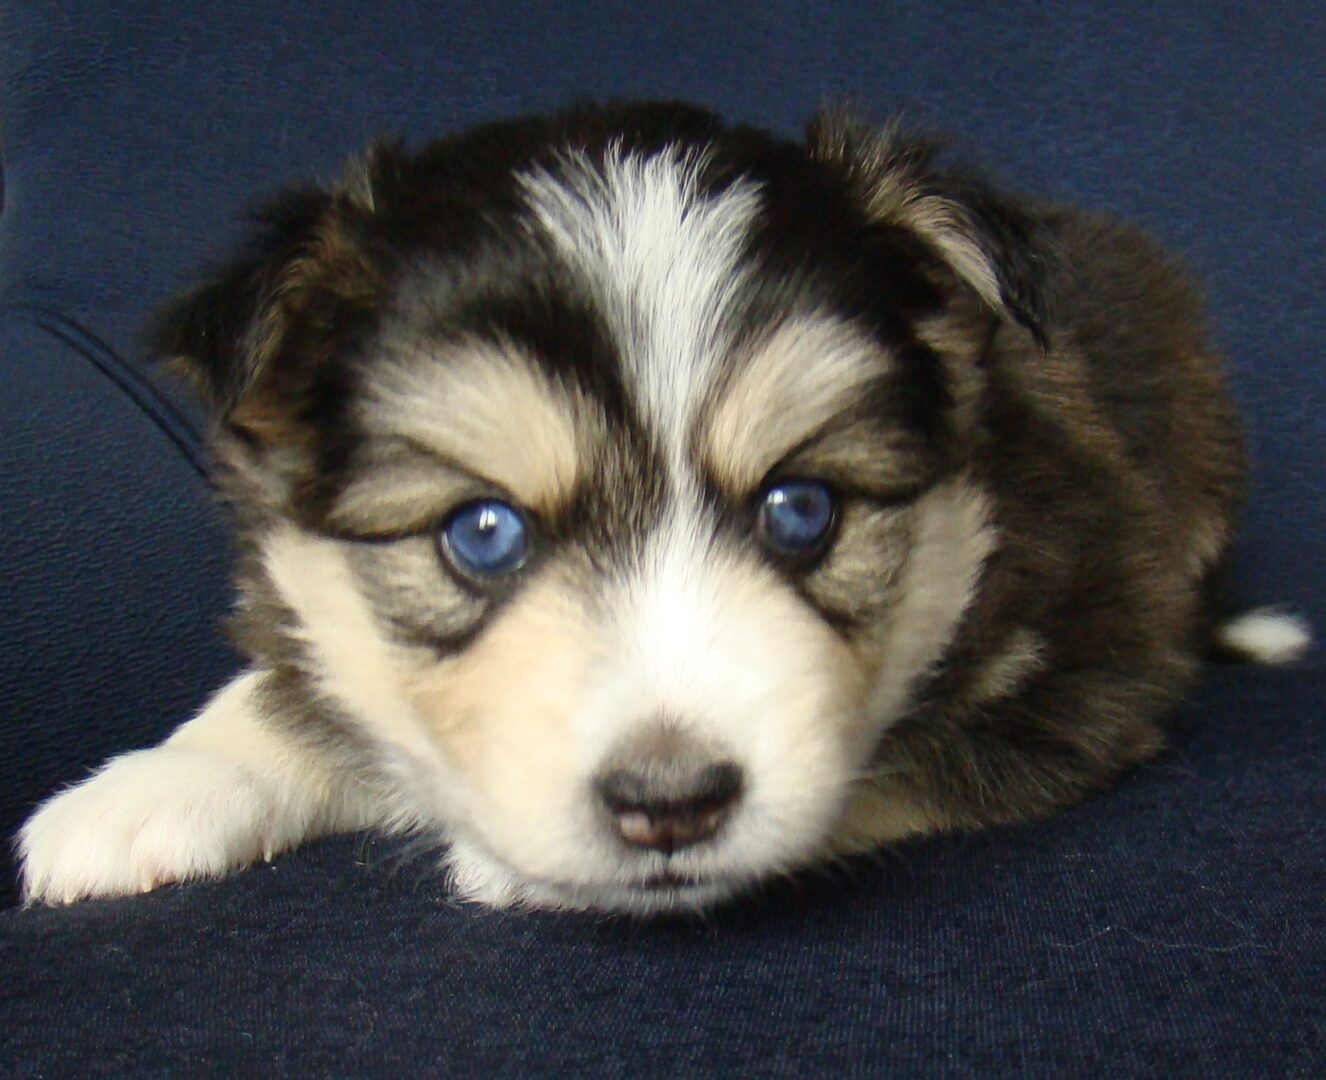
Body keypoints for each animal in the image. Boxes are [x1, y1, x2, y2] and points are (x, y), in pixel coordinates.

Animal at [15, 101, 1310, 912]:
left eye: (803, 509)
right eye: (483, 533)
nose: (669, 808)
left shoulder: (1092, 663)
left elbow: (893, 763)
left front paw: (512, 861)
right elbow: (297, 682)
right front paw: (149, 786)